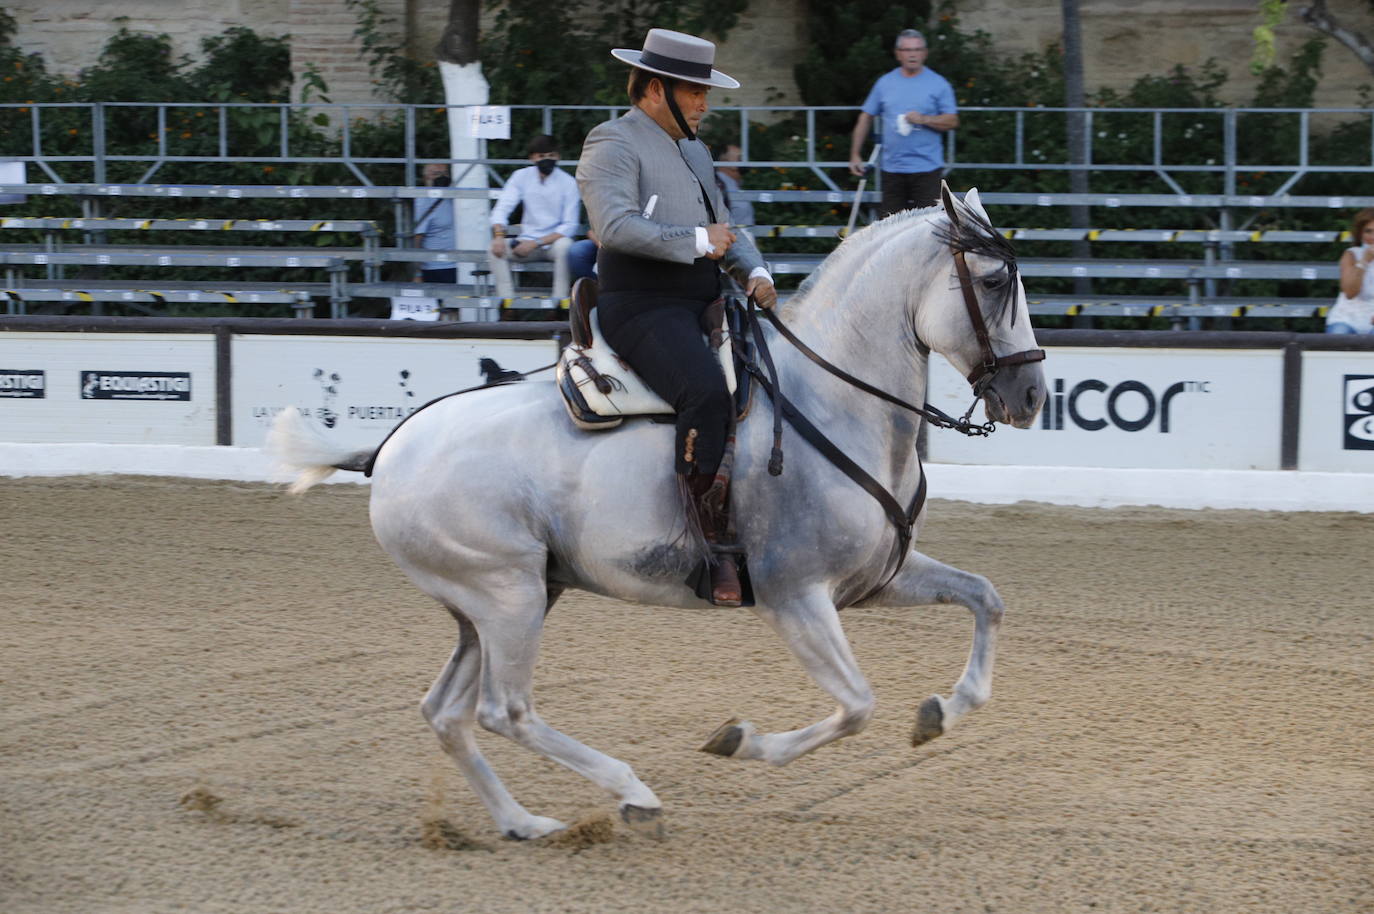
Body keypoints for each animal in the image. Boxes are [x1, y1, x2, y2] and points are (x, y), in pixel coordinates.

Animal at [265, 188, 1038, 835]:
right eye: (993, 283)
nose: (1030, 395)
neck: (830, 403)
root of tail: (390, 447)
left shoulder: (876, 579)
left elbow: (986, 599)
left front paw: (940, 712)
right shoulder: (795, 596)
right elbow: (856, 705)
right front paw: (741, 741)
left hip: (499, 602)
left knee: (447, 713)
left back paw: (524, 823)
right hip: (506, 596)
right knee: (504, 711)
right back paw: (631, 793)